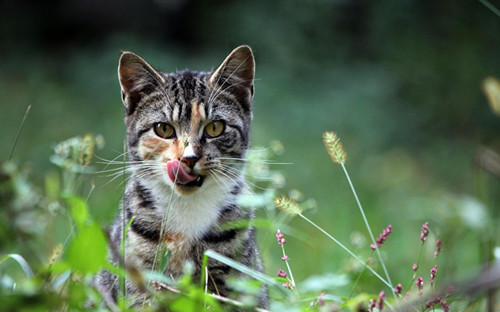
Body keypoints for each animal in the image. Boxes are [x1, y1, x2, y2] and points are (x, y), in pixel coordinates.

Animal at [92, 44, 268, 310]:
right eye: (163, 129)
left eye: (215, 127)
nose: (188, 158)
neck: (187, 208)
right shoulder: (138, 282)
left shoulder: (231, 281)